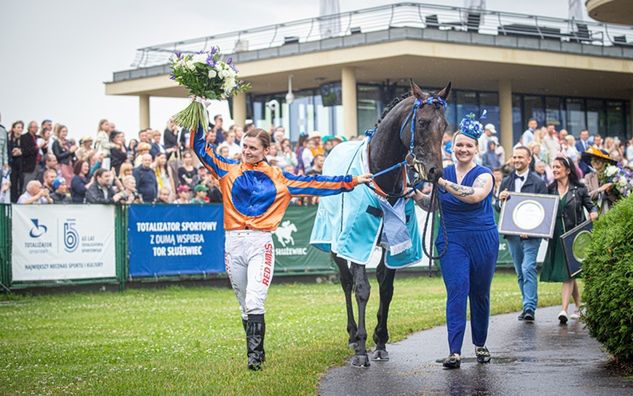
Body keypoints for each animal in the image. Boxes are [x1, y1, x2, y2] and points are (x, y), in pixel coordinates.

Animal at [326, 80, 450, 368]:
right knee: (346, 282)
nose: (435, 172)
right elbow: (361, 289)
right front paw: (361, 348)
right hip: (336, 244)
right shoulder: (357, 239)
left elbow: (386, 287)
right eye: (423, 122)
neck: (379, 174)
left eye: (445, 125)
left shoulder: (395, 240)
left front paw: (380, 340)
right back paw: (352, 336)